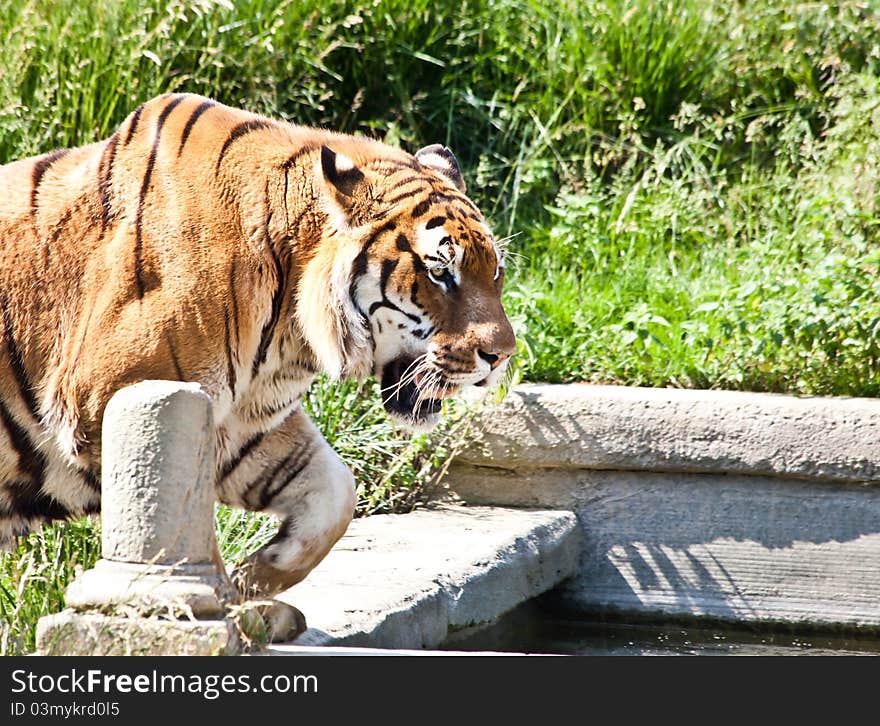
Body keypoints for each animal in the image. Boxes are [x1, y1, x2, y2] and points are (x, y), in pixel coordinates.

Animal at [0, 94, 516, 624]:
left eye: (494, 271)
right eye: (440, 273)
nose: (501, 356)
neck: (287, 334)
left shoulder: (246, 426)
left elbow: (336, 495)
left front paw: (256, 584)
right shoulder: (112, 400)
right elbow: (184, 519)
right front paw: (215, 604)